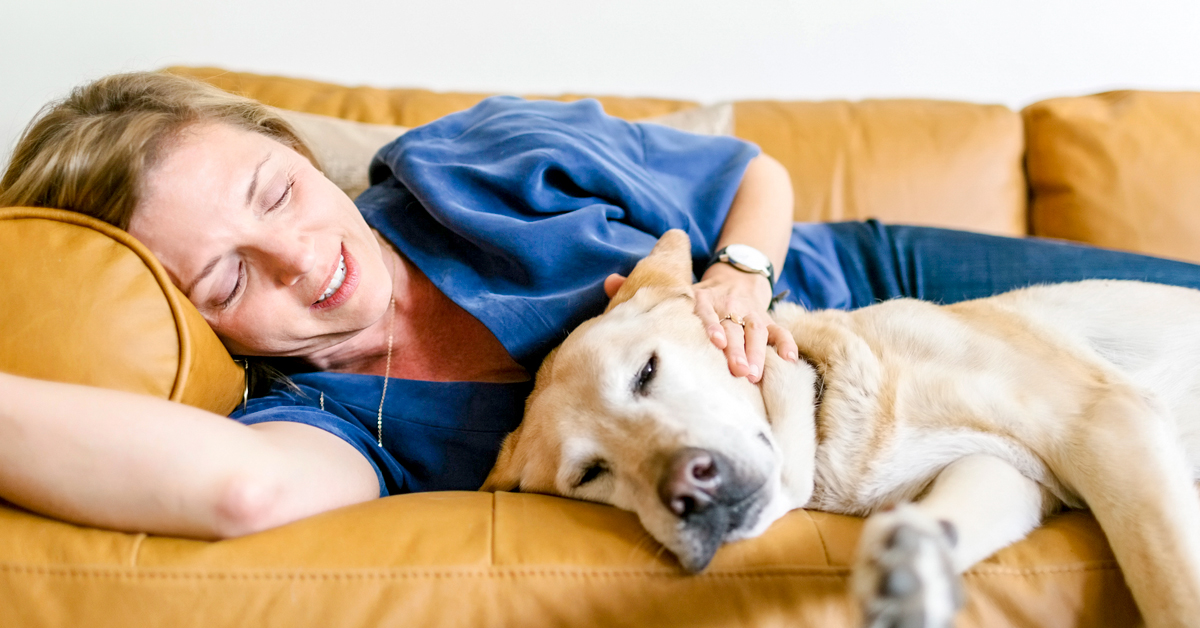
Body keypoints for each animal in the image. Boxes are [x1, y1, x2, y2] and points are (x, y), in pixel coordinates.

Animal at [482, 230, 1200, 628]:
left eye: (646, 372)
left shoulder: (1101, 423)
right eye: (590, 473)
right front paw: (908, 574)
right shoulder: (1013, 472)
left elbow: (1169, 580)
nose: (690, 491)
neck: (833, 425)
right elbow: (947, 516)